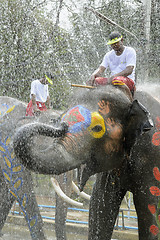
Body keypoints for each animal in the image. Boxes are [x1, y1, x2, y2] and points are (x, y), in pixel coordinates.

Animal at [12, 83, 159, 240]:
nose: (62, 124)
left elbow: (150, 210)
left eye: (97, 128)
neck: (130, 99)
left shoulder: (153, 156)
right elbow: (99, 204)